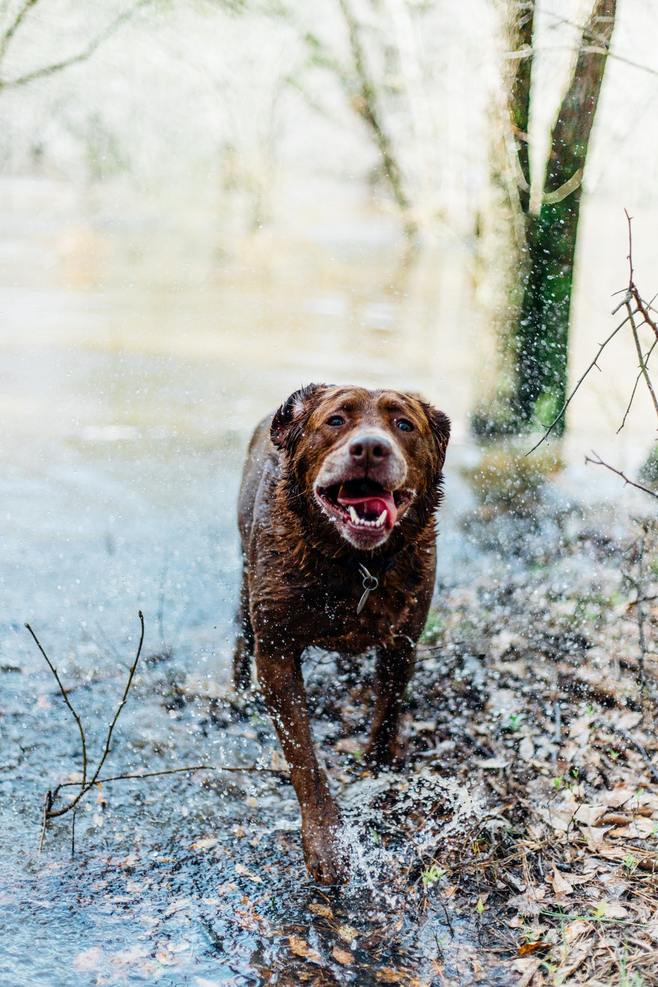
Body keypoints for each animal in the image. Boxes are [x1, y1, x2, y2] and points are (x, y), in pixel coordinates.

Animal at [233, 382, 448, 884]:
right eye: (336, 420)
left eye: (404, 424)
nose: (370, 448)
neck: (355, 564)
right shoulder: (276, 651)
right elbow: (304, 758)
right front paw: (327, 843)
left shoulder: (404, 640)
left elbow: (387, 710)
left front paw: (380, 769)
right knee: (240, 637)